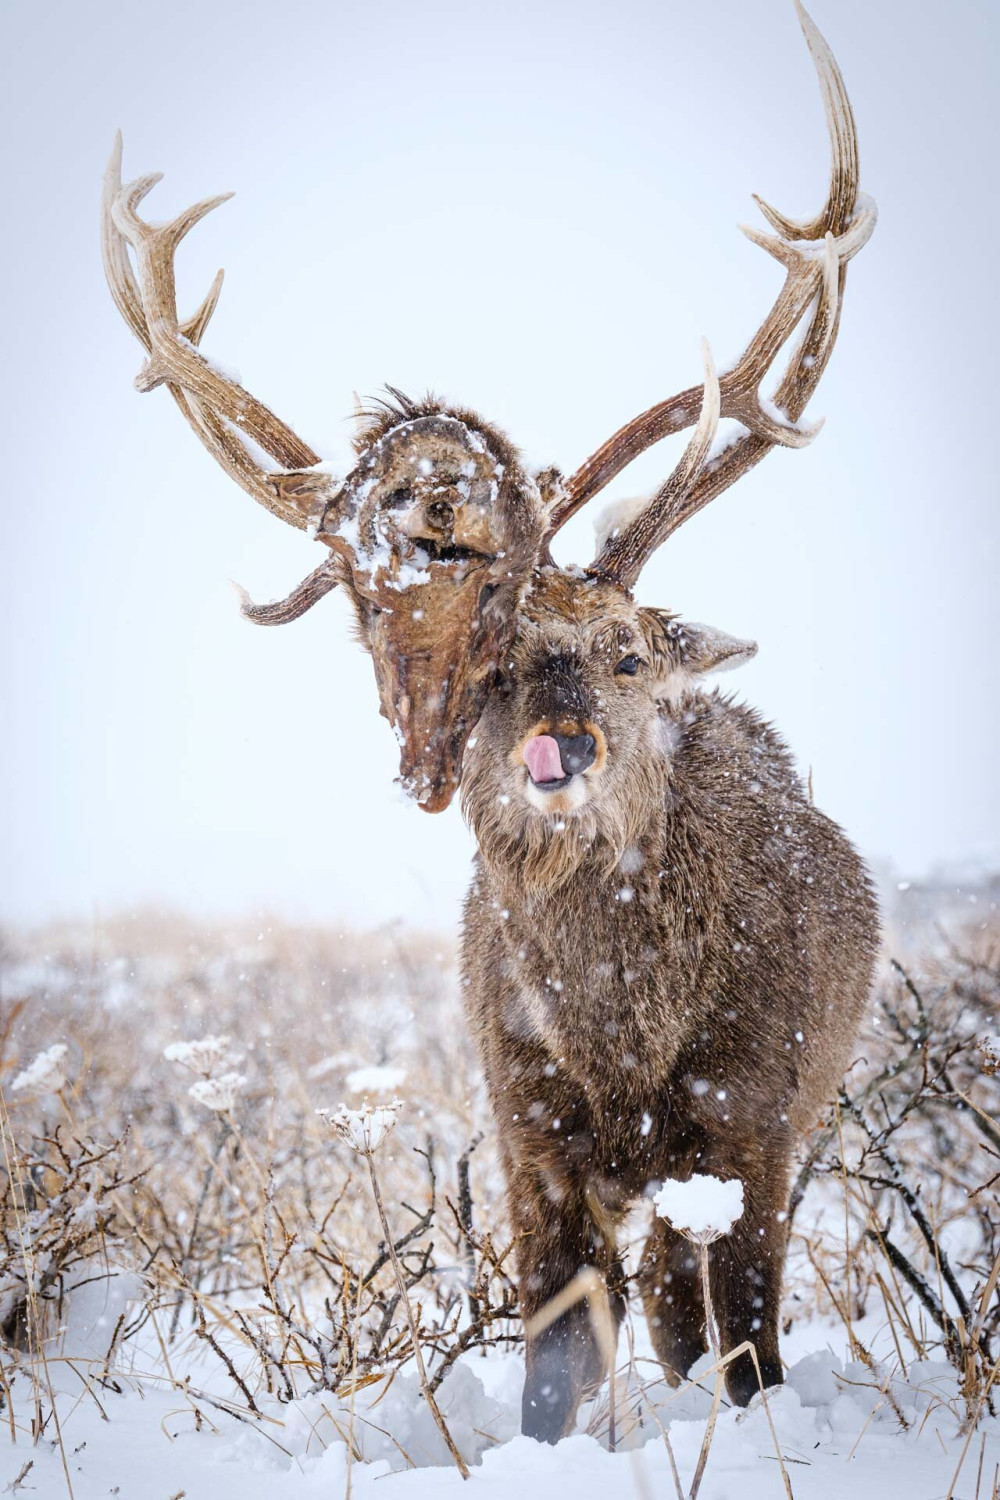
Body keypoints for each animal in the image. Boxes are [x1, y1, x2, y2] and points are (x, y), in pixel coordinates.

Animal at [103, 5, 875, 1446]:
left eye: (626, 653)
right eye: (500, 661)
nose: (557, 749)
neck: (625, 1042)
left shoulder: (754, 1119)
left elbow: (751, 1350)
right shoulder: (525, 1131)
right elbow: (554, 1373)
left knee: (694, 1316)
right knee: (663, 1314)